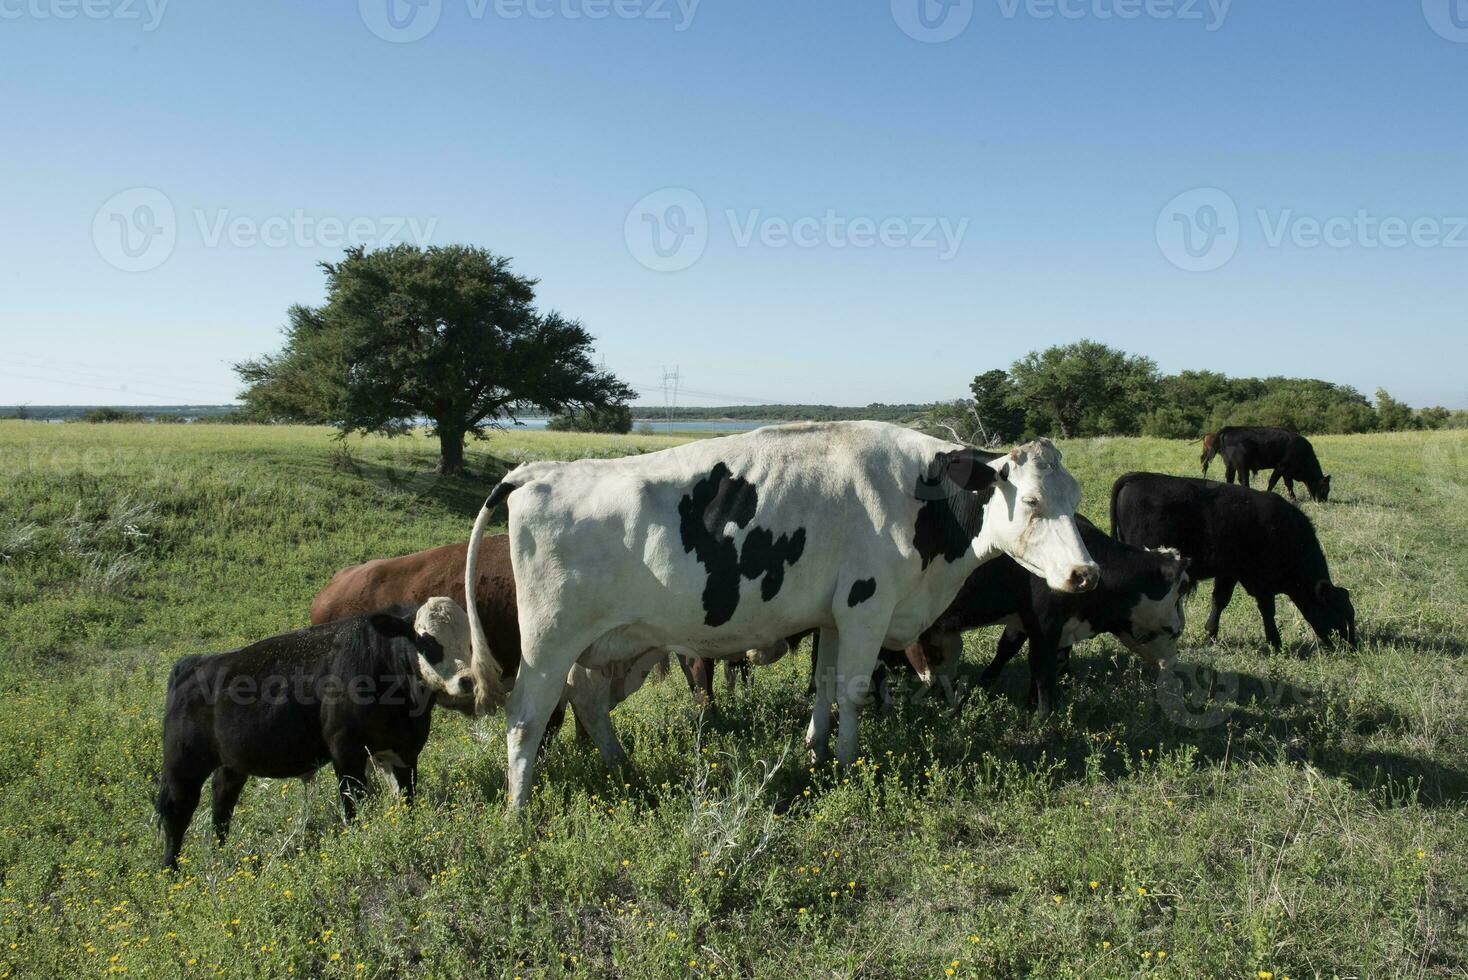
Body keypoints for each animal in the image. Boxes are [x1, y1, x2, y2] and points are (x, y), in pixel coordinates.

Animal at [157, 598, 472, 862]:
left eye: (470, 642)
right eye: (428, 641)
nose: (467, 680)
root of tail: (194, 663)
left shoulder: (405, 750)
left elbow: (407, 796)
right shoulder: (346, 750)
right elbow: (352, 800)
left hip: (231, 764)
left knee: (222, 802)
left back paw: (220, 856)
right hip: (183, 764)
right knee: (177, 813)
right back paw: (170, 871)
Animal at [463, 416, 1098, 809]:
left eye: (1074, 499)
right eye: (1032, 501)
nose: (1084, 574)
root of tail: (537, 471)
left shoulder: (835, 615)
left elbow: (824, 684)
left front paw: (815, 755)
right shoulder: (867, 607)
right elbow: (852, 690)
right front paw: (847, 763)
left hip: (599, 644)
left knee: (588, 704)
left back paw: (623, 770)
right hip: (548, 644)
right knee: (526, 718)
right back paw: (519, 811)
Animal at [1109, 472, 1350, 651]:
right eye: (1339, 612)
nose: (1351, 645)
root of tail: (1137, 477)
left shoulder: (1229, 573)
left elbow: (1220, 601)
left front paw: (1210, 635)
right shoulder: (1262, 581)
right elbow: (1267, 610)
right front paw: (1275, 643)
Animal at [1203, 425, 1332, 501]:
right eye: (1325, 489)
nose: (1324, 501)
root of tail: (1230, 428)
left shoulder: (1287, 472)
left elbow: (1289, 484)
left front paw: (1293, 498)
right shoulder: (1281, 467)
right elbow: (1273, 482)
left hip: (1230, 465)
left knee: (1230, 479)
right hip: (1242, 465)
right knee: (1244, 480)